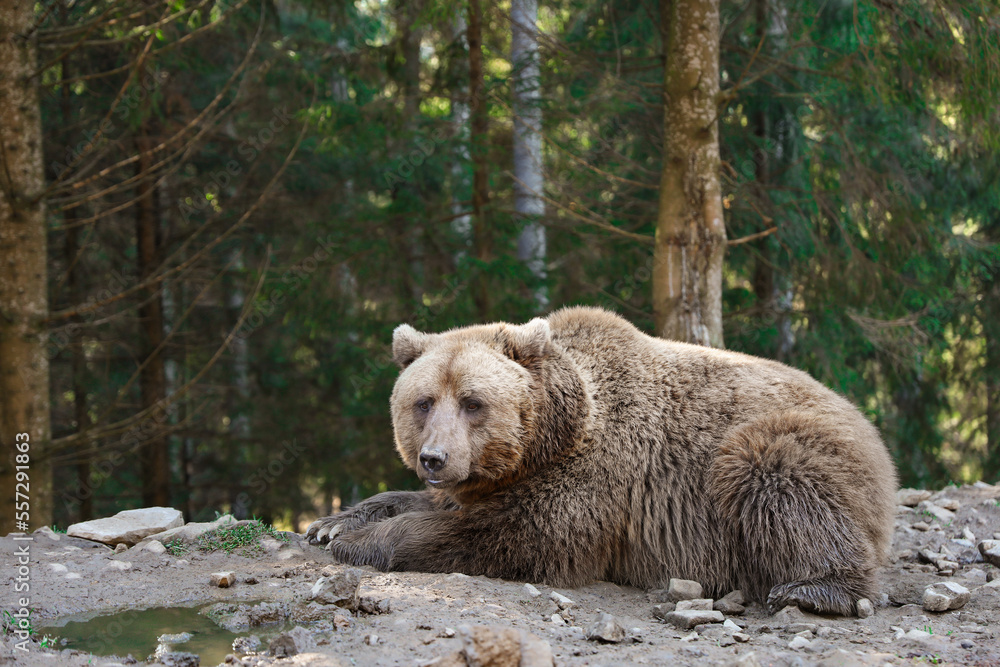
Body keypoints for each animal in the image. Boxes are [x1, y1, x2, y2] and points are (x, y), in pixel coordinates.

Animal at [306, 307, 897, 616]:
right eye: (424, 401)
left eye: (473, 402)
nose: (435, 458)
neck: (549, 440)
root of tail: (870, 429)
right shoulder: (491, 478)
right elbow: (435, 504)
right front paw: (332, 523)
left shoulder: (600, 477)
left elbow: (518, 533)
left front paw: (362, 543)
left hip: (783, 443)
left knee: (775, 474)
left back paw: (813, 590)